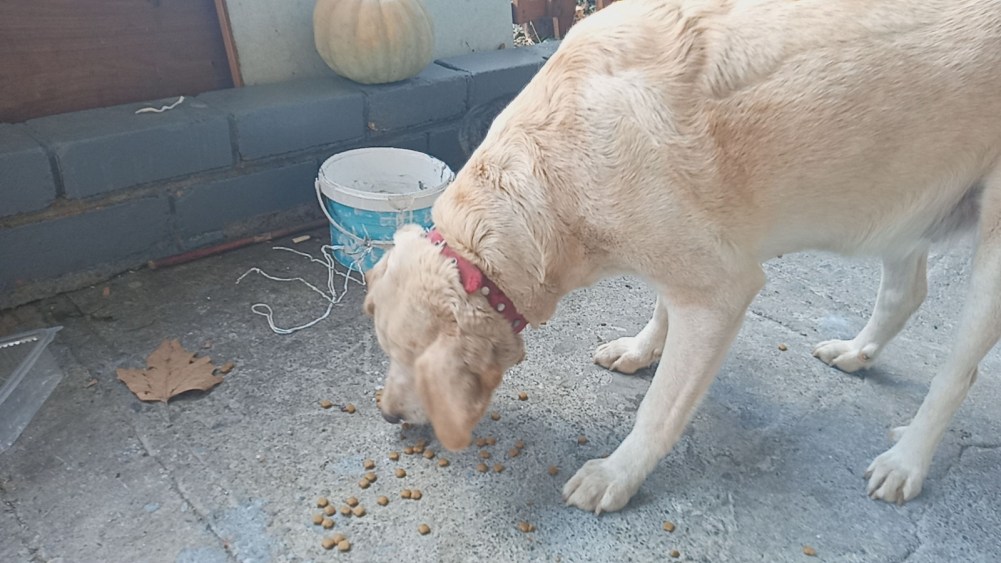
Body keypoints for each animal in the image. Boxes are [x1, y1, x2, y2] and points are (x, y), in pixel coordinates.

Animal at [363, 0, 1001, 513]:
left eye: (416, 363)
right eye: (387, 352)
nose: (387, 415)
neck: (545, 178)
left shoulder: (721, 290)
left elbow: (661, 407)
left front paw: (617, 474)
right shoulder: (681, 266)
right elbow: (661, 310)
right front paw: (641, 349)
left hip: (988, 252)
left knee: (958, 373)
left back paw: (907, 461)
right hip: (896, 204)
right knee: (905, 293)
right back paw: (856, 351)